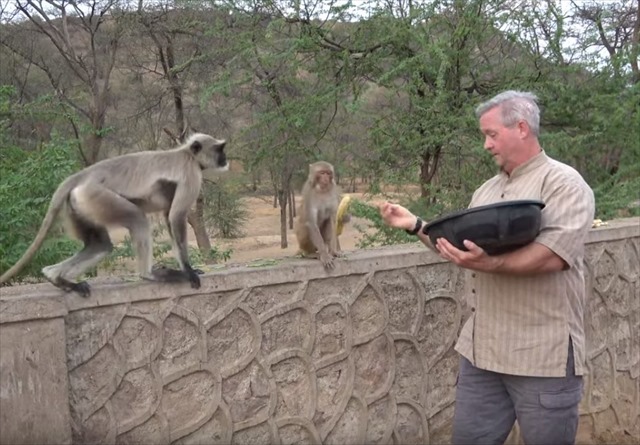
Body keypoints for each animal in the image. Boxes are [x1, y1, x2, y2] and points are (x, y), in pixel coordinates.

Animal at [0, 134, 230, 296]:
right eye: (219, 149)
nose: (225, 159)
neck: (187, 154)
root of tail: (82, 175)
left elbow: (169, 217)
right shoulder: (191, 175)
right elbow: (176, 217)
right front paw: (189, 271)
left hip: (79, 205)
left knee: (100, 245)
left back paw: (59, 280)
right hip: (97, 197)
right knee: (138, 219)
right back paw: (149, 275)